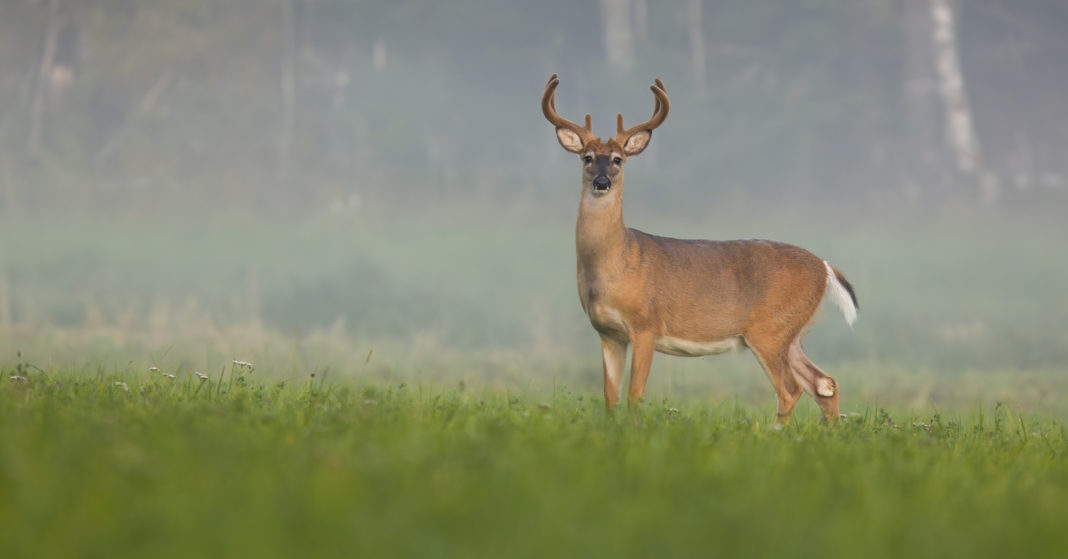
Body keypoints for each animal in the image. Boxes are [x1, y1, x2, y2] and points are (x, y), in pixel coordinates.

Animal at [542, 74, 858, 425]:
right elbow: (610, 397)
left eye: (617, 160)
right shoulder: (608, 333)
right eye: (586, 157)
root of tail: (825, 267)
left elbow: (635, 396)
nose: (601, 182)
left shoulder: (646, 325)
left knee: (791, 389)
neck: (617, 262)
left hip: (770, 329)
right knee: (824, 383)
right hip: (793, 333)